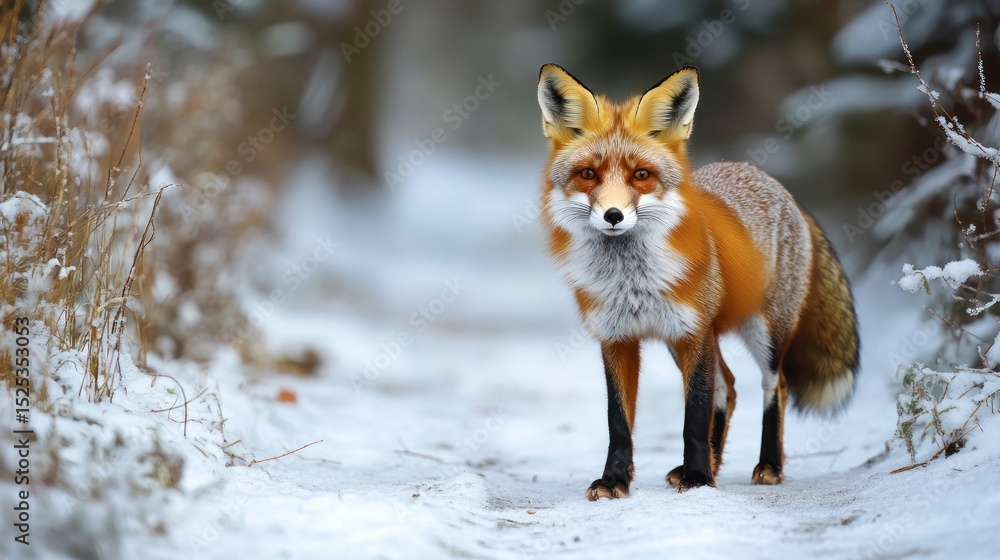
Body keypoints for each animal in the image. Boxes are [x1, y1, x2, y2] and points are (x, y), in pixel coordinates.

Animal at [536, 64, 860, 499]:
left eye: (641, 175)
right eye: (588, 174)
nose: (613, 215)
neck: (631, 281)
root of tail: (774, 183)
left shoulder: (694, 333)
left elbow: (694, 416)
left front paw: (698, 478)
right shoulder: (617, 338)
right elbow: (619, 423)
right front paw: (615, 480)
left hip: (763, 332)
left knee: (775, 385)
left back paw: (767, 465)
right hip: (686, 343)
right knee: (729, 387)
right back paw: (716, 464)